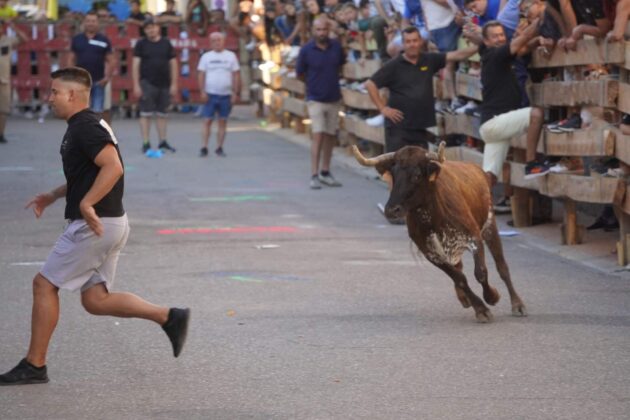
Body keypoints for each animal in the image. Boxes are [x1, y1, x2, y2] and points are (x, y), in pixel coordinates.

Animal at [356, 143, 528, 324]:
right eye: (393, 174)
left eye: (417, 175)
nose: (391, 210)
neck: (433, 217)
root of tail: (479, 170)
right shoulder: (431, 253)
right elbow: (459, 278)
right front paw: (480, 309)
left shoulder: (475, 237)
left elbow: (480, 273)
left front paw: (492, 296)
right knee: (460, 269)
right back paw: (464, 298)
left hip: (490, 225)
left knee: (502, 266)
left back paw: (517, 305)